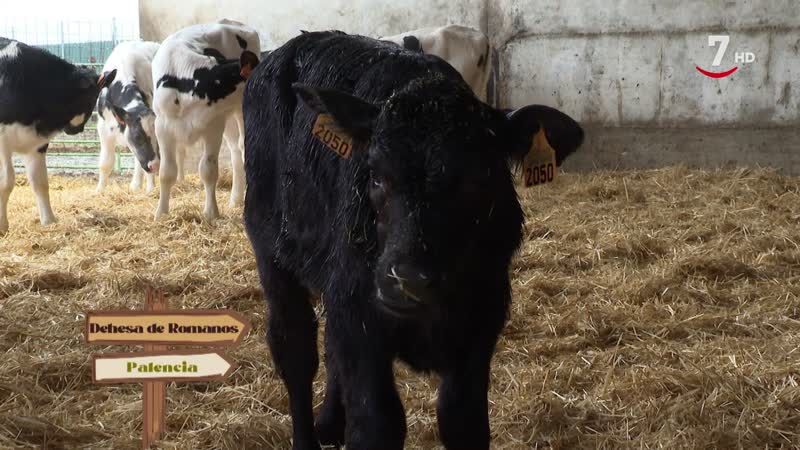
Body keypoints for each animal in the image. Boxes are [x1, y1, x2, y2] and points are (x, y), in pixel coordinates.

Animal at [0, 37, 115, 234]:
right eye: (91, 99)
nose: (78, 130)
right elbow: (6, 182)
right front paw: (2, 225)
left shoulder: (36, 143)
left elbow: (40, 181)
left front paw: (49, 220)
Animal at [95, 40, 160, 193]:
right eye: (137, 136)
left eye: (156, 134)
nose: (155, 165)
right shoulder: (103, 129)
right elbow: (105, 163)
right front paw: (100, 191)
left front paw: (150, 189)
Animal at [152, 20, 260, 221]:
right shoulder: (163, 126)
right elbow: (166, 172)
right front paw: (161, 213)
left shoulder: (213, 125)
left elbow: (208, 170)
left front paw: (211, 213)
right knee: (235, 150)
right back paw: (235, 199)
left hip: (238, 112)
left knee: (242, 147)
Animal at [242, 31, 584, 450]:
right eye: (375, 175)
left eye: (479, 179)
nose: (409, 280)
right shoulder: (359, 315)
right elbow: (378, 423)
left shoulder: (482, 322)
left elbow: (462, 420)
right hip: (271, 252)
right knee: (295, 349)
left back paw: (331, 424)